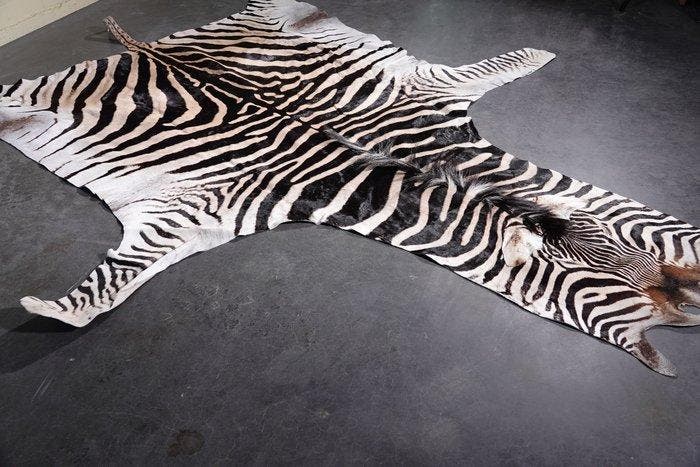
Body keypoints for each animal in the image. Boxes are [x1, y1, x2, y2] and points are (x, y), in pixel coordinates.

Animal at [0, 0, 698, 376]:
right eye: (603, 284)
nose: (688, 308)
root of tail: (157, 49)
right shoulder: (194, 211)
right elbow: (105, 290)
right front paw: (48, 310)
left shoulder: (433, 99)